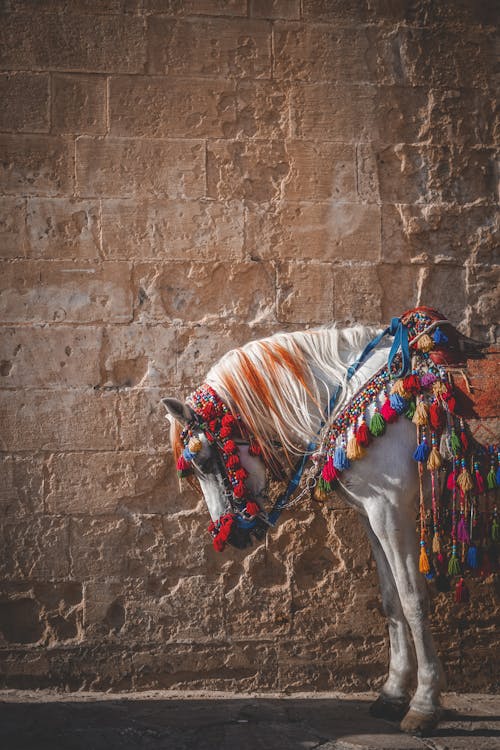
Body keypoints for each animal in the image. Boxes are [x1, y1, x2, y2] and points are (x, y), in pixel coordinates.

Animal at [163, 322, 454, 736]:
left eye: (203, 460)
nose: (231, 534)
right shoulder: (374, 514)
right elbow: (391, 599)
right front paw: (393, 692)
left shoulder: (392, 508)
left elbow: (413, 598)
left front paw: (425, 702)